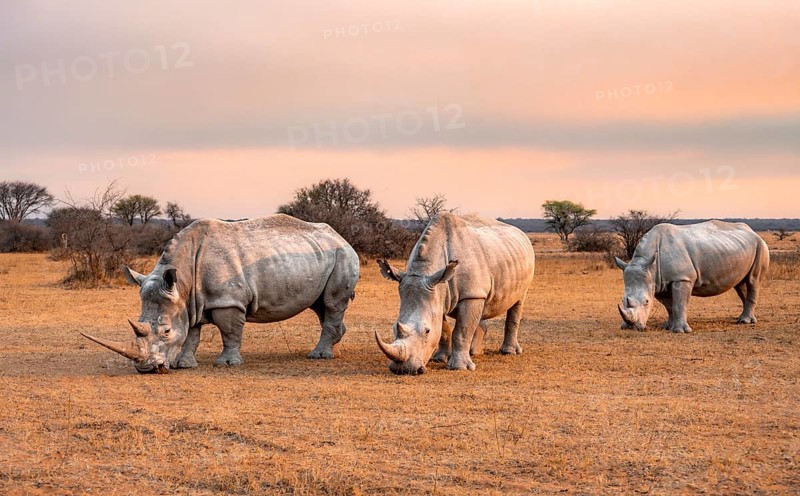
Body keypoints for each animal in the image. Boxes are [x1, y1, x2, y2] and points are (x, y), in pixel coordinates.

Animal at [81, 215, 360, 373]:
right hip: (318, 256)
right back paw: (333, 348)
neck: (183, 280)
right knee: (321, 306)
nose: (146, 369)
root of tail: (341, 237)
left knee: (332, 303)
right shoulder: (187, 301)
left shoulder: (228, 301)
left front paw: (226, 364)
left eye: (166, 331)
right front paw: (184, 365)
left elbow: (229, 331)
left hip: (343, 255)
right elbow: (192, 334)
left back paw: (319, 356)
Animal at [376, 213, 535, 374]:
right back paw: (473, 352)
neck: (425, 270)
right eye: (393, 328)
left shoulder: (468, 294)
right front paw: (440, 358)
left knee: (518, 301)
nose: (402, 370)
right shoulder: (438, 292)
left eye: (427, 331)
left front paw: (459, 367)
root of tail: (521, 233)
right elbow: (444, 330)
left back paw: (509, 352)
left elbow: (461, 331)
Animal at [615, 220, 769, 333]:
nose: (632, 327)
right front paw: (667, 326)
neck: (648, 264)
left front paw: (679, 331)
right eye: (623, 300)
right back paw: (743, 319)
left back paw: (745, 321)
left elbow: (679, 304)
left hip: (761, 246)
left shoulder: (683, 278)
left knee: (753, 281)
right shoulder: (658, 281)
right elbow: (669, 305)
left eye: (646, 302)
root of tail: (753, 232)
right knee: (740, 285)